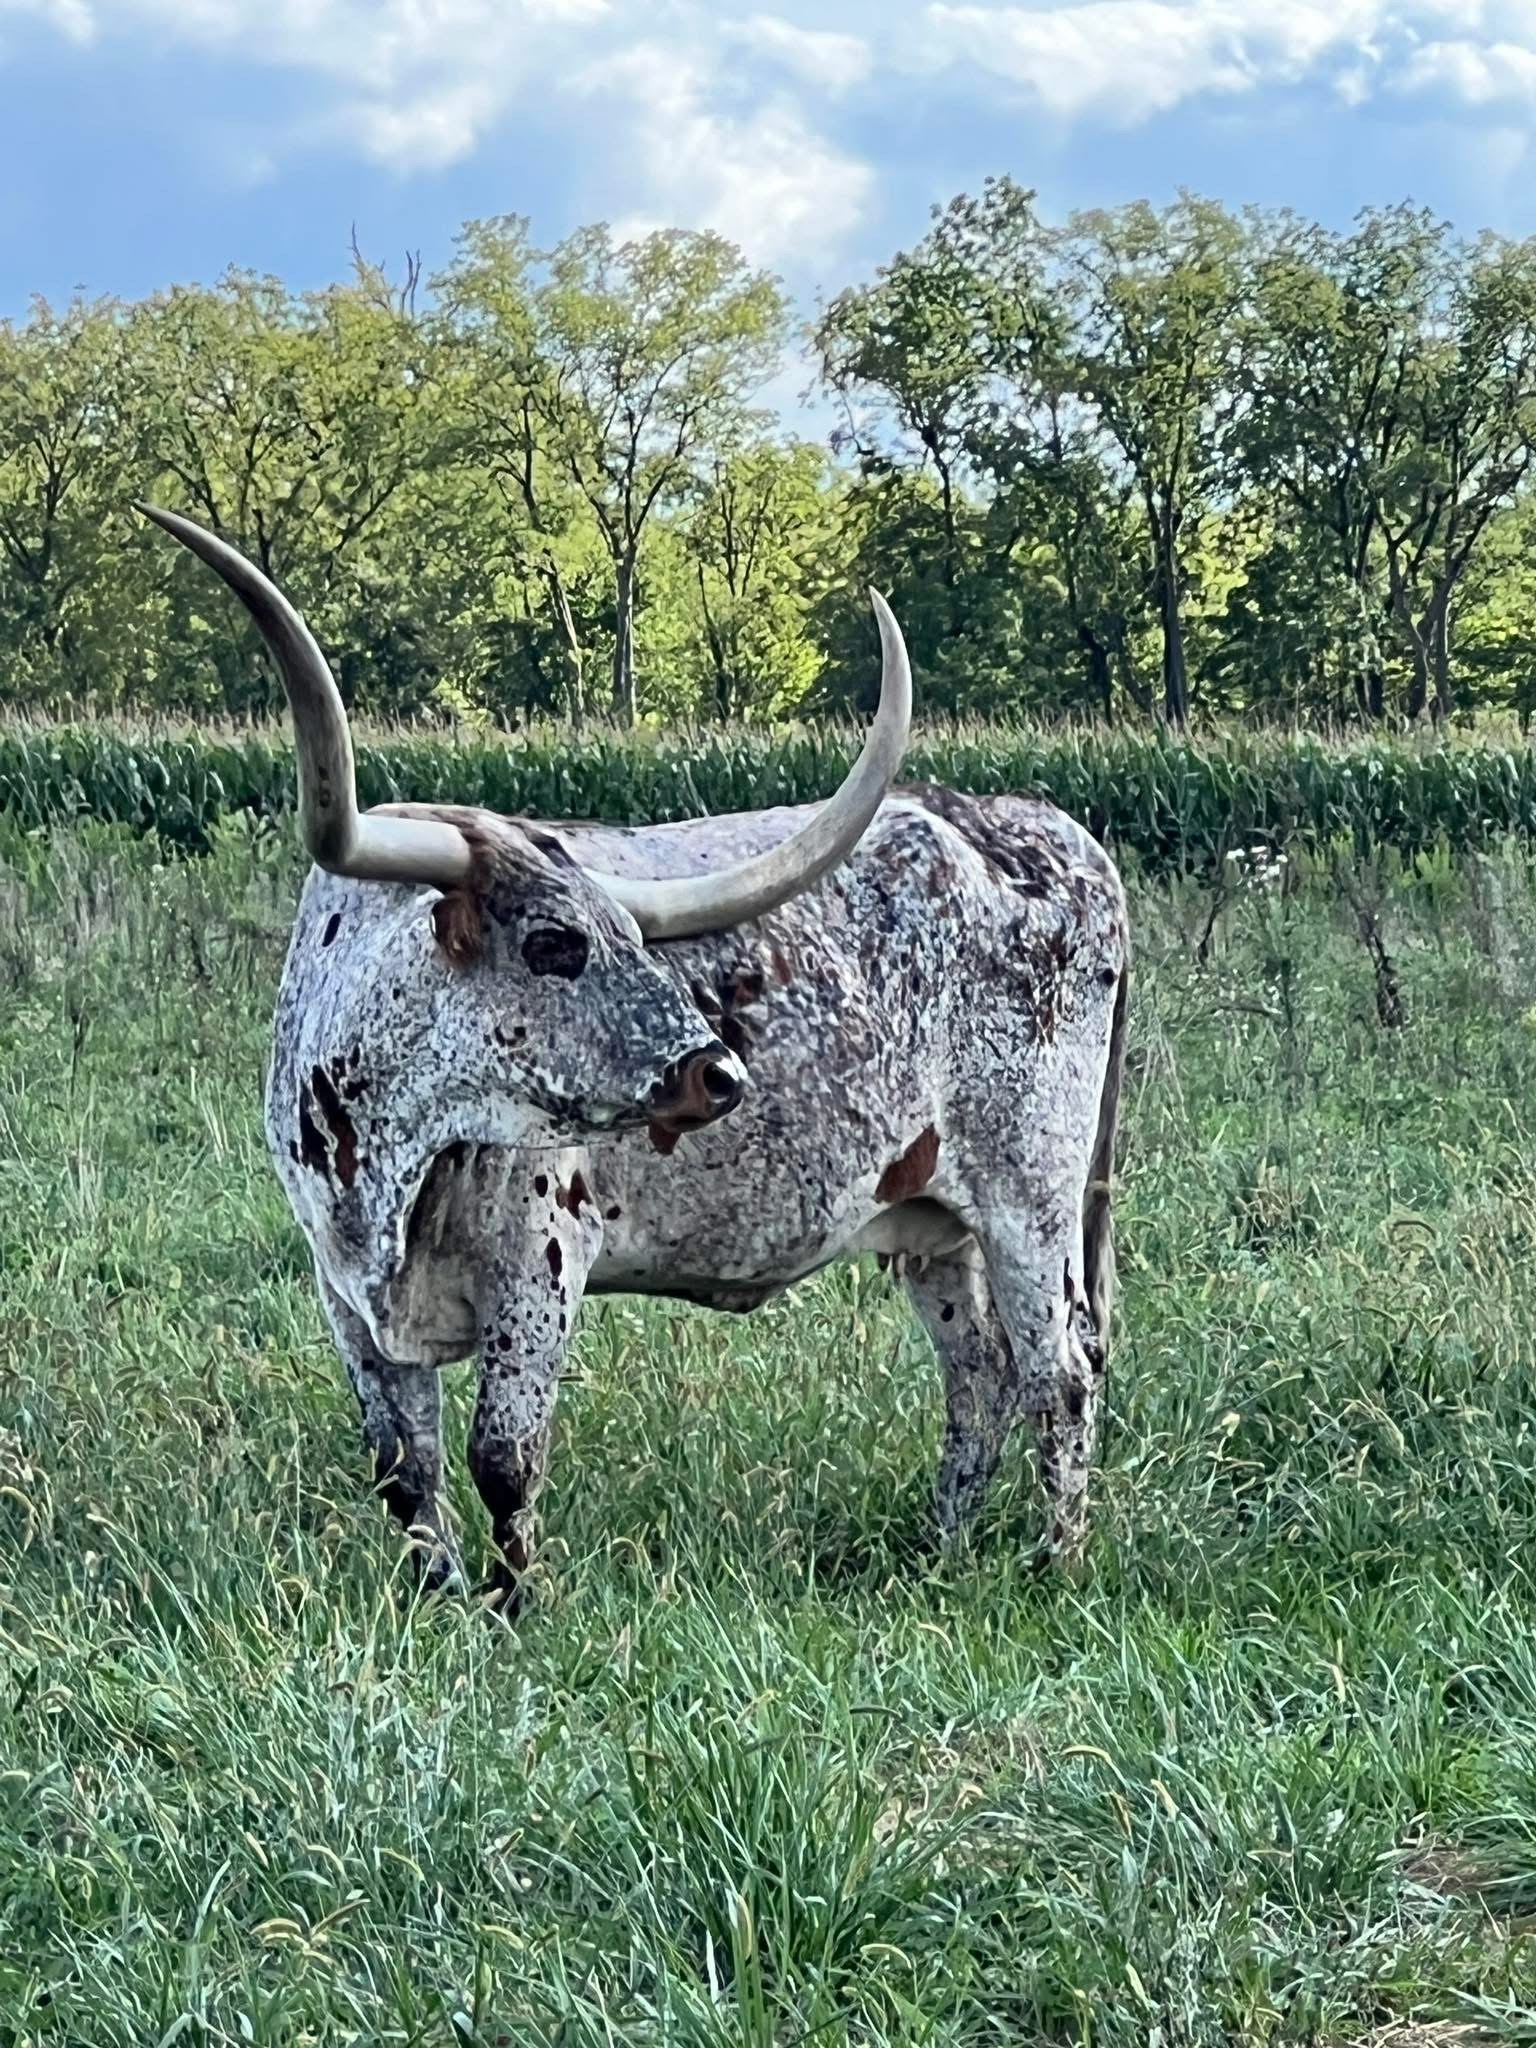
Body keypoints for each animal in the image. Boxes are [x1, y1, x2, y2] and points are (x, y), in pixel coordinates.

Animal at [140, 503, 1130, 1609]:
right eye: (555, 942)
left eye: (635, 936)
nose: (719, 1071)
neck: (385, 1159)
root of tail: (1038, 825)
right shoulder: (343, 1291)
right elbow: (406, 1467)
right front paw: (439, 1599)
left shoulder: (539, 1268)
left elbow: (503, 1455)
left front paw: (515, 1604)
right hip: (931, 1220)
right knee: (981, 1374)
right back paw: (939, 1553)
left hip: (1031, 1196)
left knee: (1061, 1369)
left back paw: (1056, 1563)